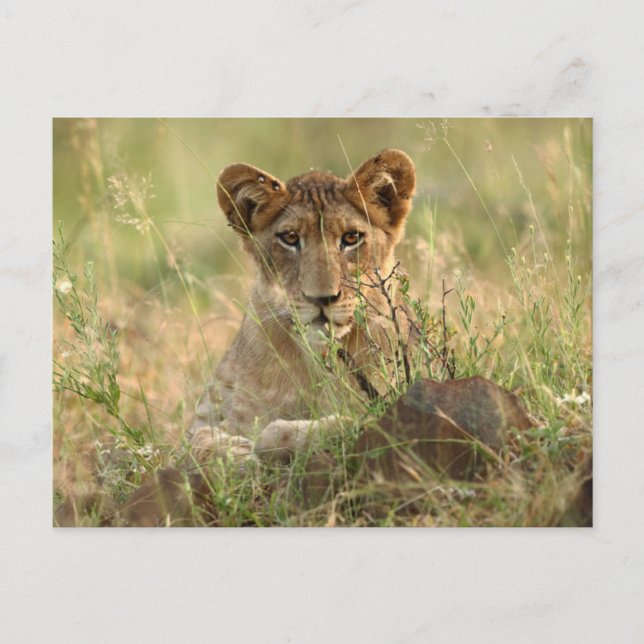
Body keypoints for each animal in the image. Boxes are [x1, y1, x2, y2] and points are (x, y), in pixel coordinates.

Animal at [188, 149, 418, 465]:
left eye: (351, 238)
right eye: (290, 238)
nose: (321, 298)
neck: (318, 360)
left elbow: (344, 423)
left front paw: (270, 441)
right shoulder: (230, 415)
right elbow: (196, 441)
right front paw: (235, 453)